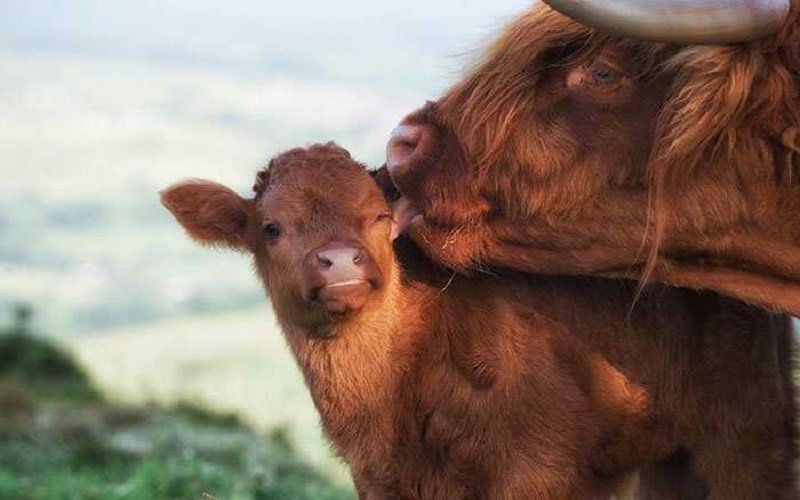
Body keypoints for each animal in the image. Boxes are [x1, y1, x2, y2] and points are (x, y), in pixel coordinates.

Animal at [161, 143, 792, 498]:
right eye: (271, 227)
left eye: (380, 216)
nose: (339, 260)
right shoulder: (379, 477)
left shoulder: (534, 468)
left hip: (748, 428)